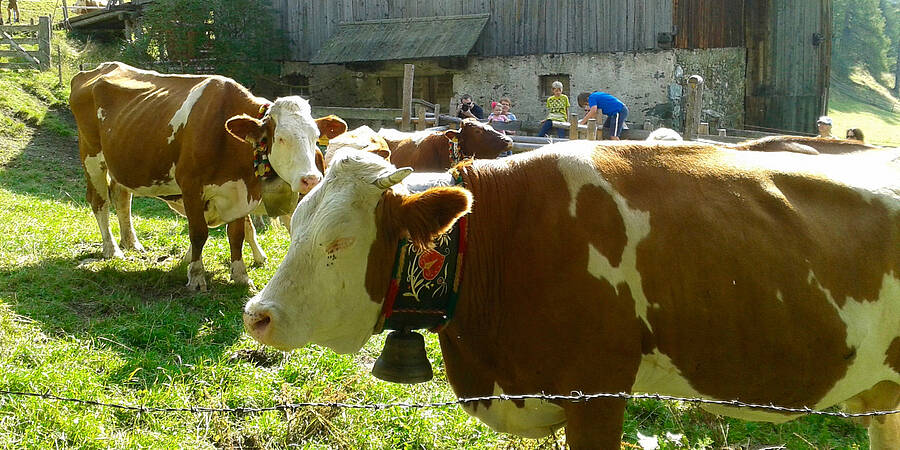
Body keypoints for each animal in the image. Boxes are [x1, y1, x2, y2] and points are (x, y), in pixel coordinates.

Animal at [70, 61, 324, 290]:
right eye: (280, 138)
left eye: (315, 136)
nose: (311, 179)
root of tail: (94, 70)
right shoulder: (191, 186)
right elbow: (199, 233)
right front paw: (196, 276)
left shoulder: (239, 193)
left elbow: (237, 235)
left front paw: (240, 275)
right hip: (92, 157)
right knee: (99, 202)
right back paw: (112, 249)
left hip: (121, 162)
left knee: (122, 199)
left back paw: (131, 243)